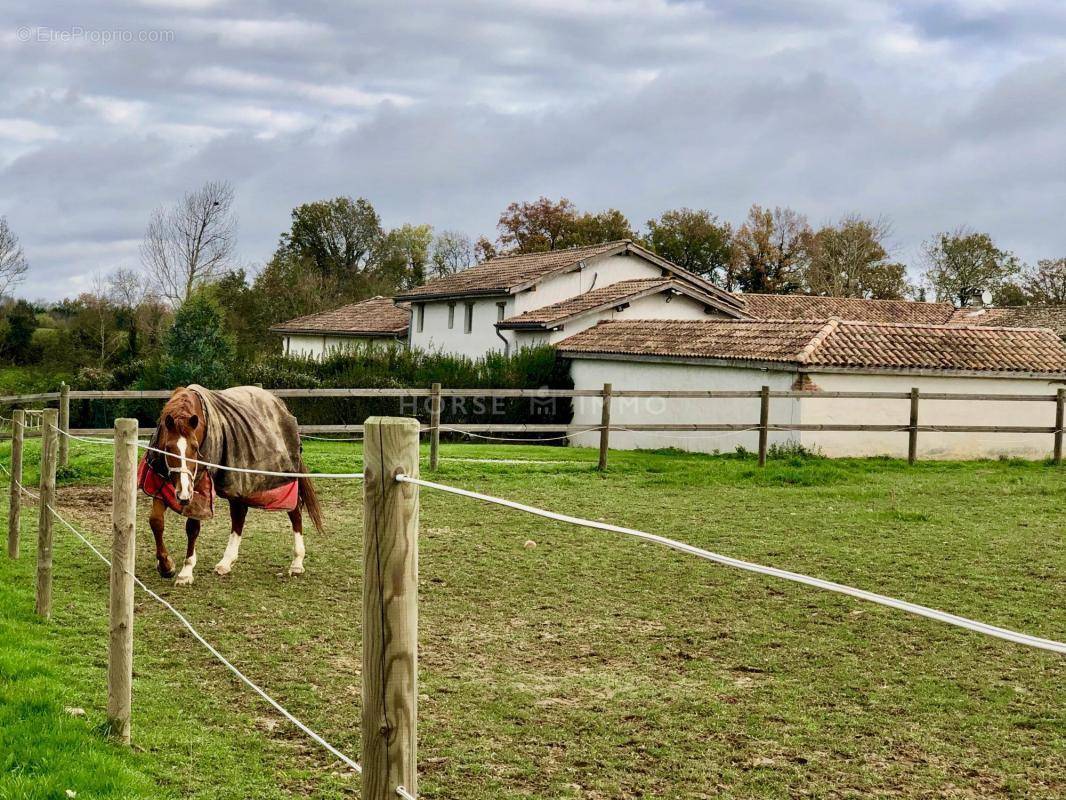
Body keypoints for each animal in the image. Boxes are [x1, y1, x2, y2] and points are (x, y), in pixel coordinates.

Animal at [141, 386, 324, 584]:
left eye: (195, 448)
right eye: (168, 448)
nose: (183, 494)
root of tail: (280, 405)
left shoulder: (200, 487)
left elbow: (192, 527)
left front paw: (186, 571)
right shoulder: (160, 483)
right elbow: (156, 522)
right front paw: (166, 566)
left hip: (283, 481)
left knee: (295, 511)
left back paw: (297, 562)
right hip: (239, 483)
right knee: (239, 515)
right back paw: (226, 563)